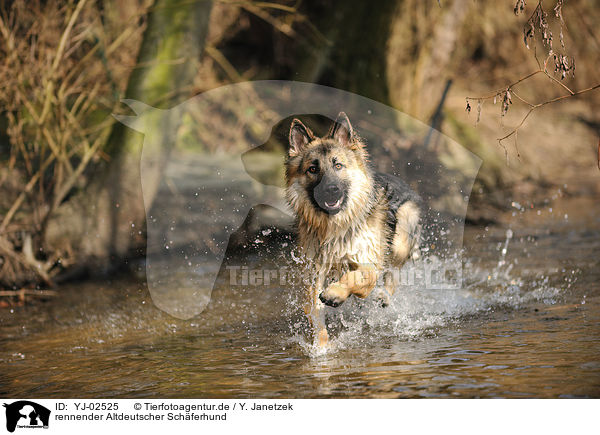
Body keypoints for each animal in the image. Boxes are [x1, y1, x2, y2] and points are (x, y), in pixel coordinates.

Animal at [286, 112, 422, 348]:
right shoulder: (315, 272)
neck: (336, 225)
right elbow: (315, 311)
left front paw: (336, 293)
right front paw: (321, 348)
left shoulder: (367, 261)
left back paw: (384, 295)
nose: (330, 190)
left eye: (338, 165)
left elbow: (360, 278)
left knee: (394, 272)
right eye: (313, 169)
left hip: (401, 236)